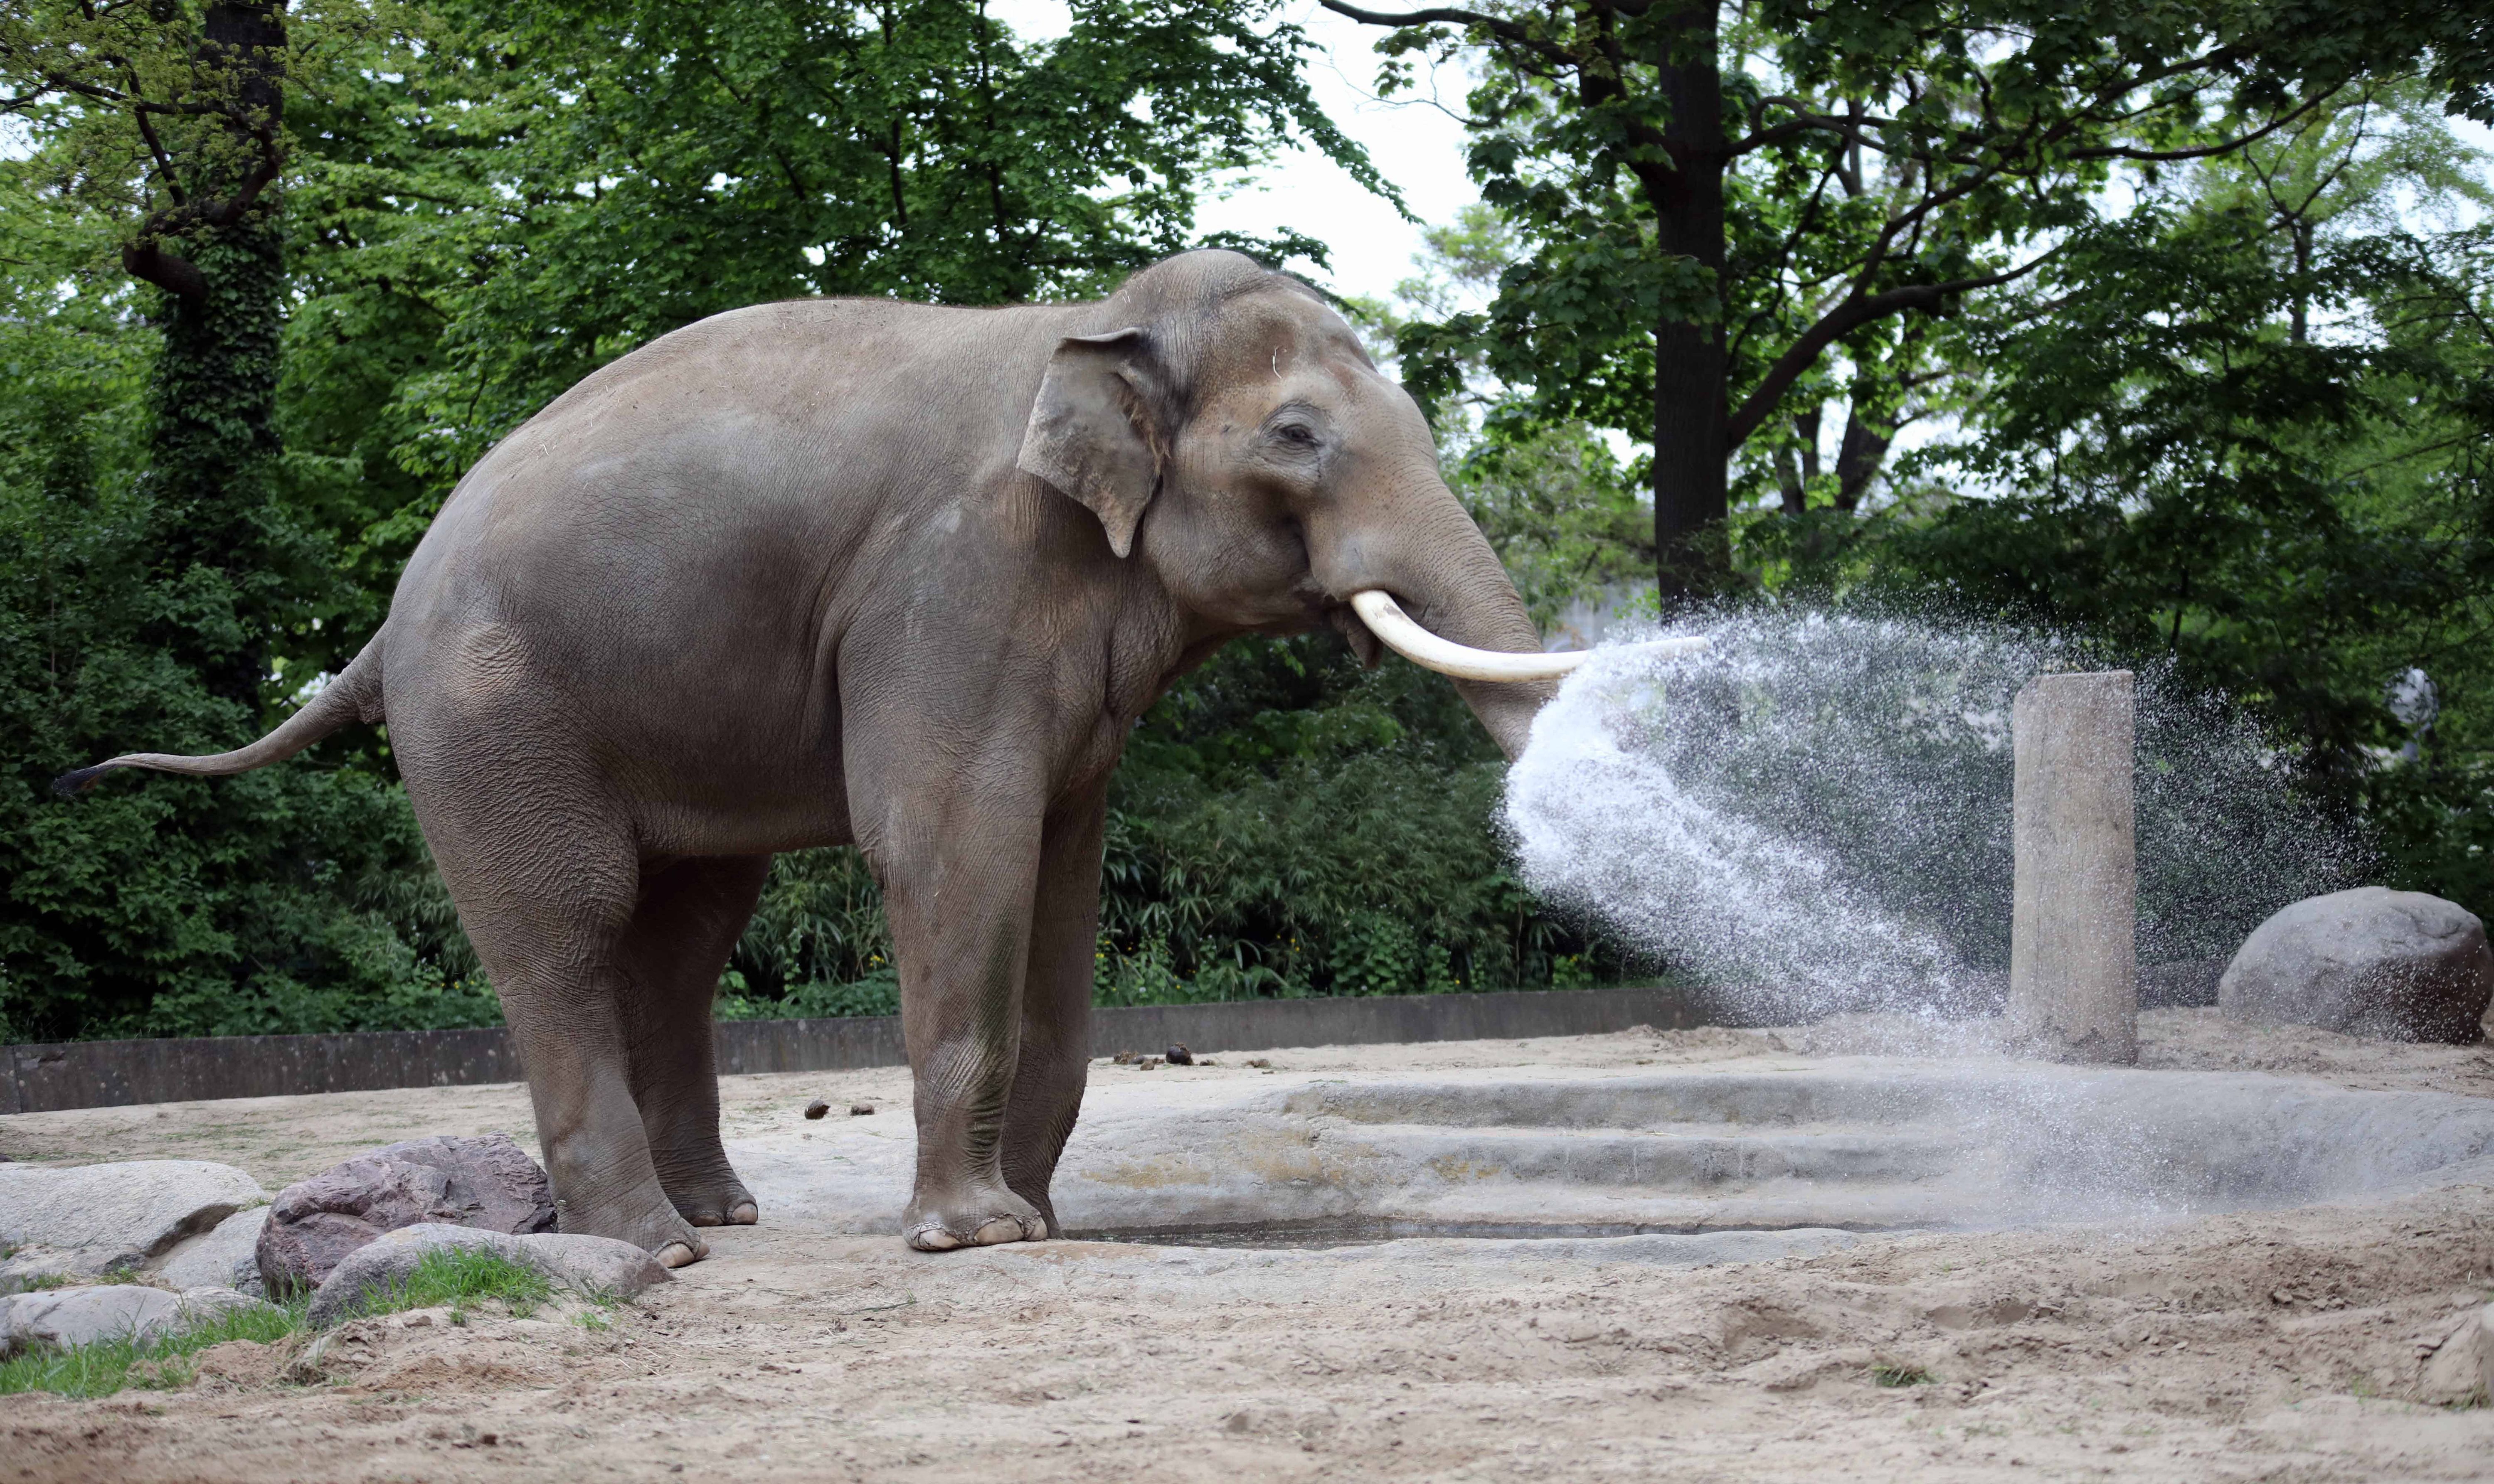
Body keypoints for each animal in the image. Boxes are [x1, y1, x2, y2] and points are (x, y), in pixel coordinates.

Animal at [61, 249, 1594, 1265]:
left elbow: (1062, 870)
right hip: (489, 710)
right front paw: (976, 1240)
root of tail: (380, 627)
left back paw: (721, 1217)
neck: (1089, 329)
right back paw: (657, 1251)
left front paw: (1033, 1222)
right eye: (1296, 436)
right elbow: (952, 839)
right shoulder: (953, 586)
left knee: (683, 936)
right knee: (568, 928)